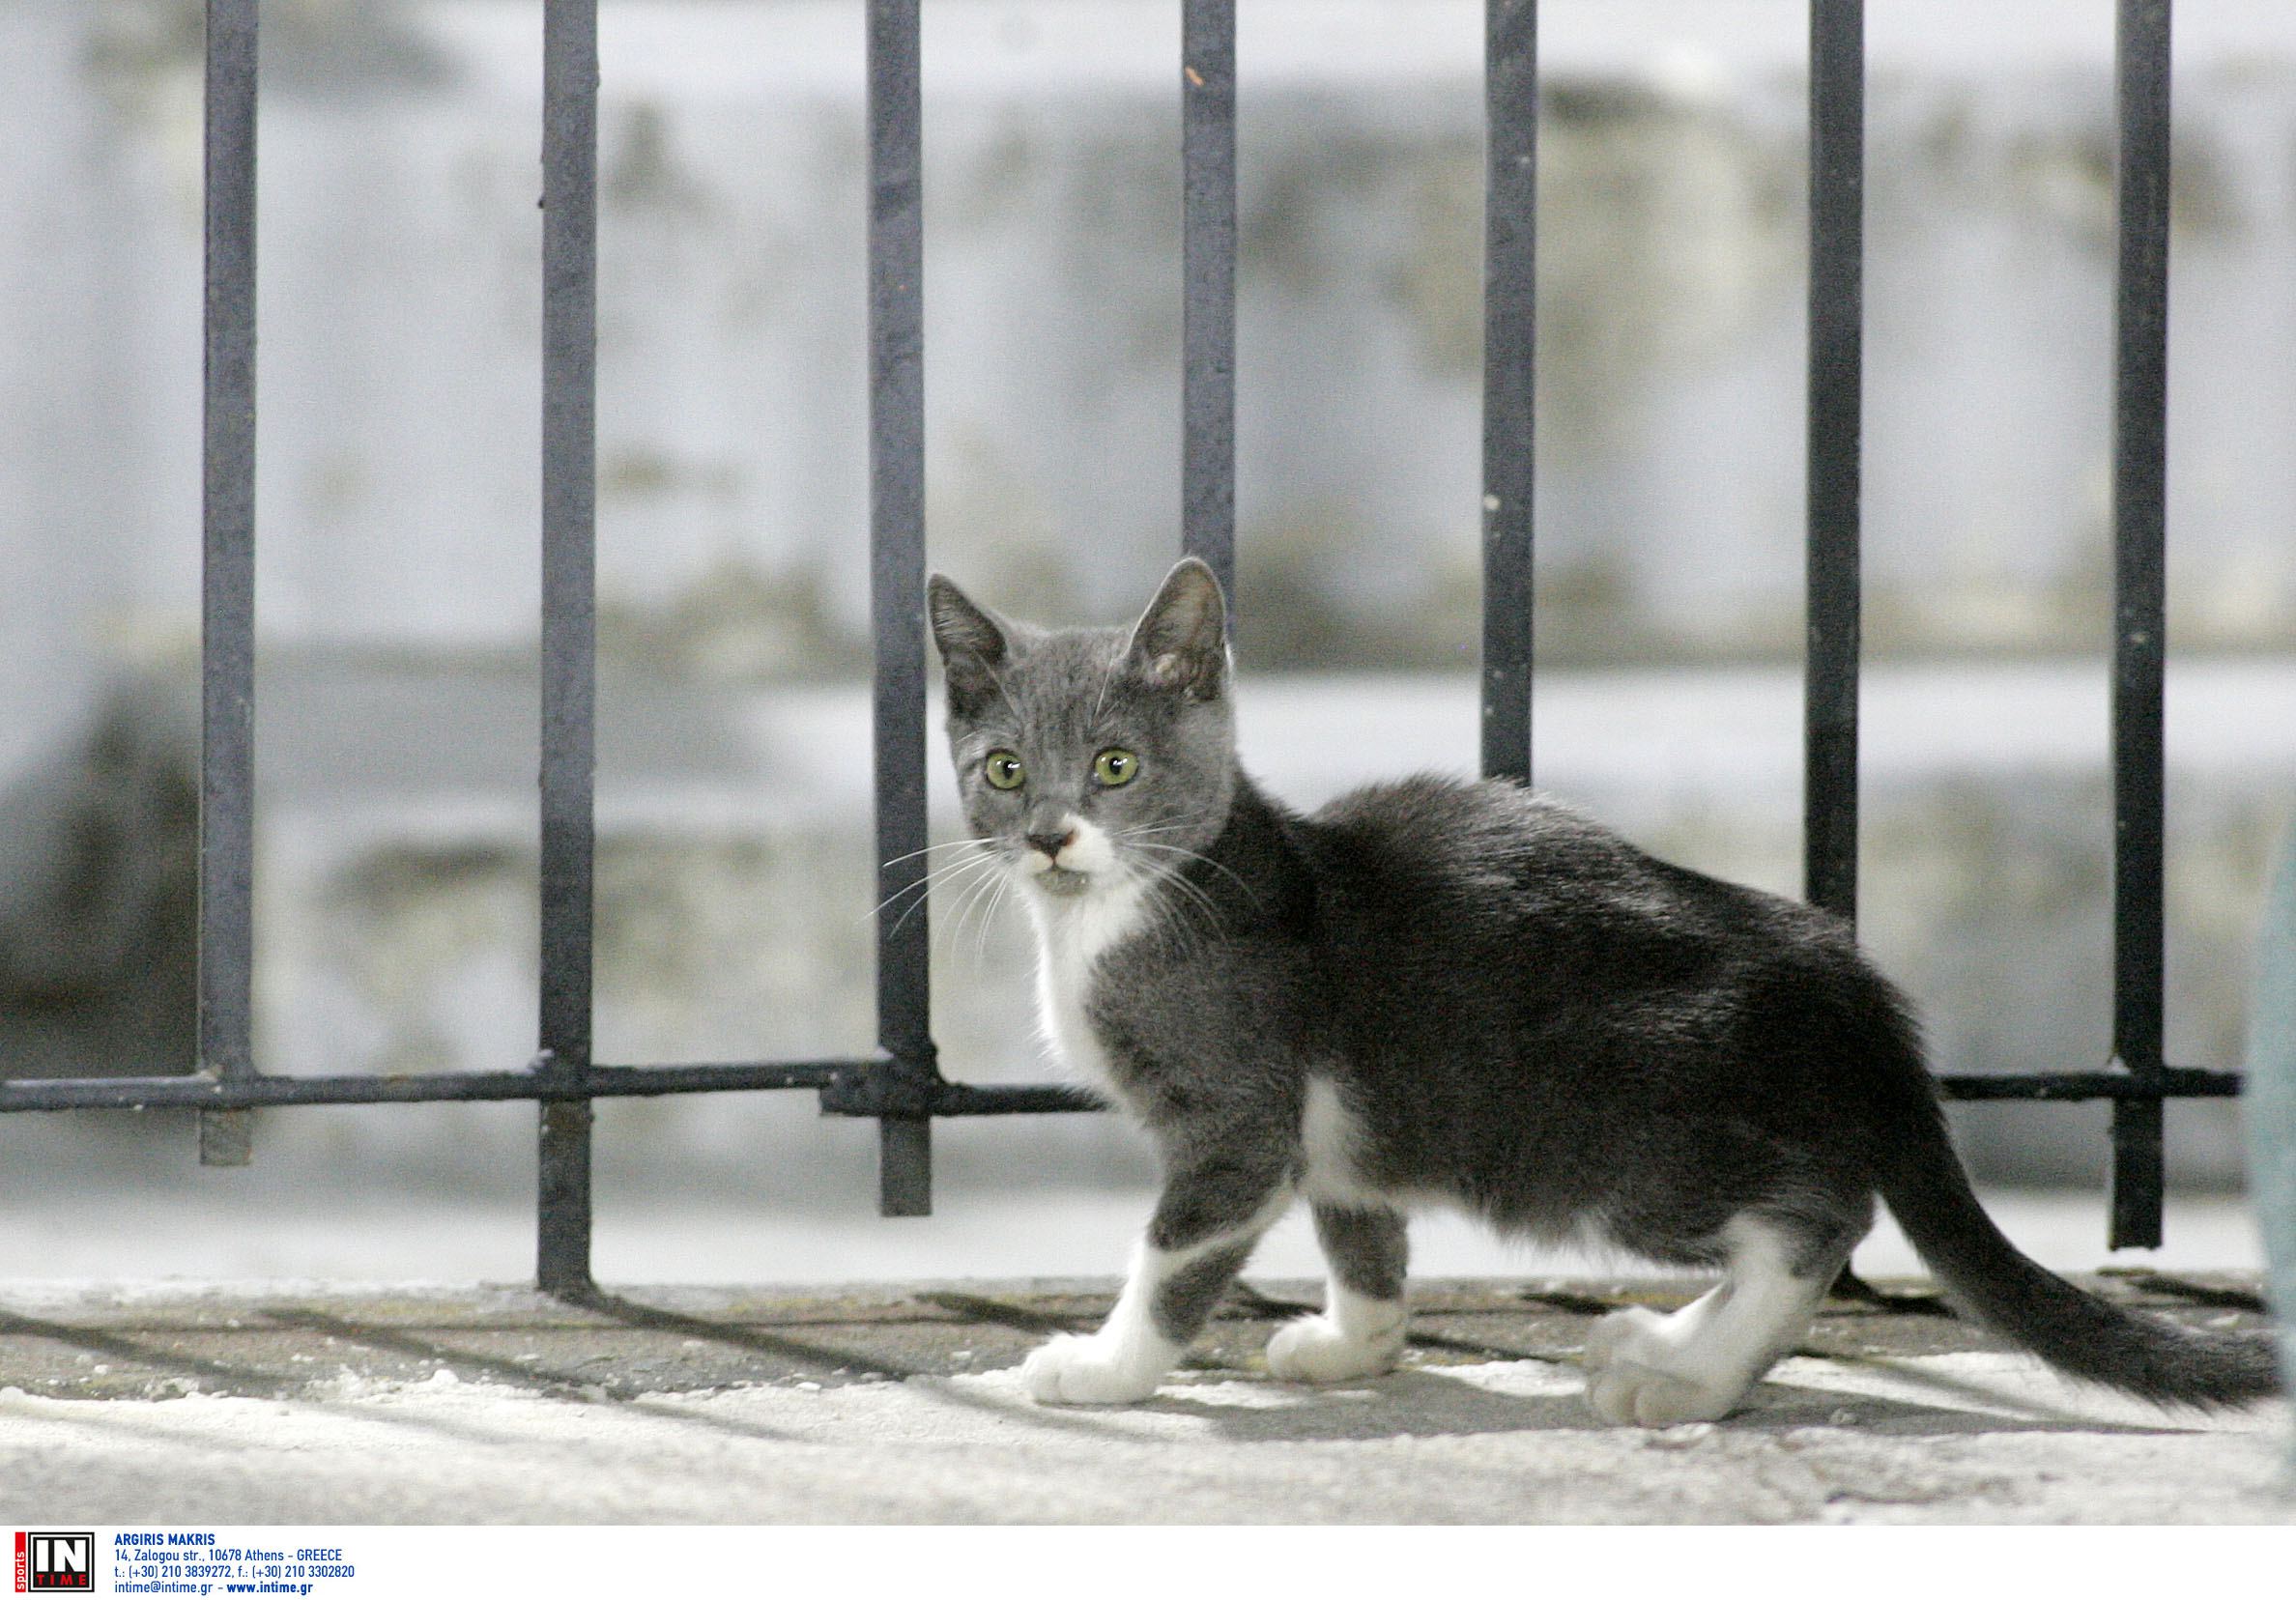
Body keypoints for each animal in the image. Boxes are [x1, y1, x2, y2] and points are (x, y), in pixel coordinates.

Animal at [918, 555, 2277, 1414]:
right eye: (1002, 769)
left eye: (1114, 765)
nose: (1050, 836)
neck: (1108, 919)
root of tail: (1844, 976)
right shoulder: (1340, 1118)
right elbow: (1364, 1232)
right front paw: (1358, 1346)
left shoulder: (1237, 1117)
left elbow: (1172, 1259)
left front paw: (1102, 1371)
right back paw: (1674, 1341)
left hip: (1609, 1138)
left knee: (1813, 1222)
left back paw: (1694, 1379)